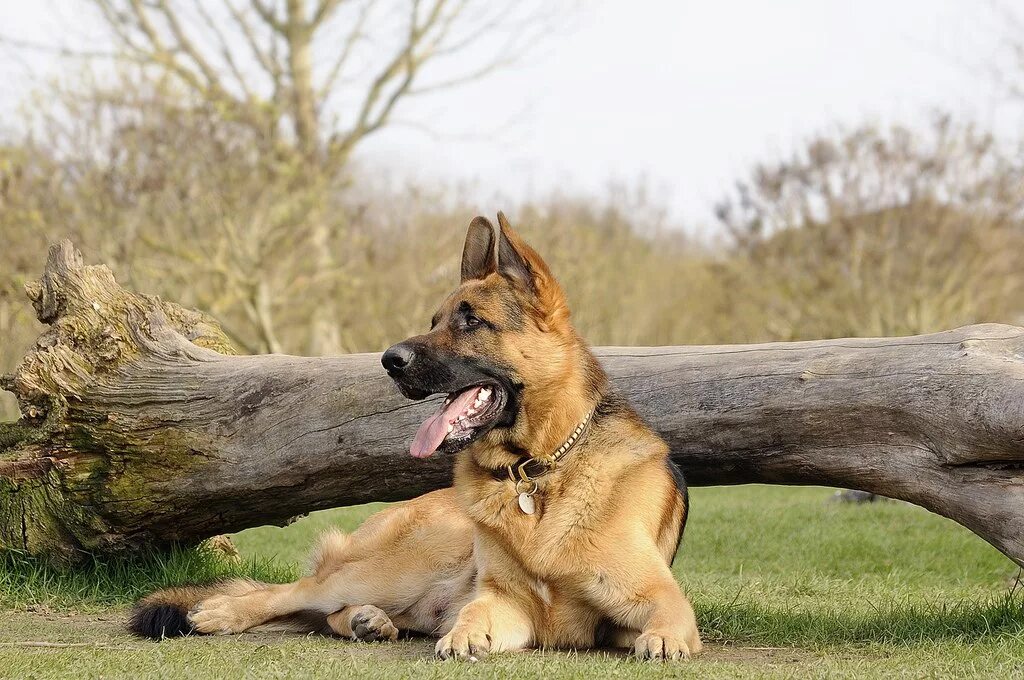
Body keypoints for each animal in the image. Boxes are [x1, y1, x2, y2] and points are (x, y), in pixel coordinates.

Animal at [128, 210, 700, 659]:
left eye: (471, 322)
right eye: (434, 321)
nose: (389, 360)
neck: (536, 473)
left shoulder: (658, 597)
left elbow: (669, 621)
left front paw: (662, 640)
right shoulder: (505, 600)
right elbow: (475, 612)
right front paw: (465, 634)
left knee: (327, 612)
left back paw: (366, 620)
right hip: (399, 567)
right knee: (293, 592)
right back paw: (219, 612)